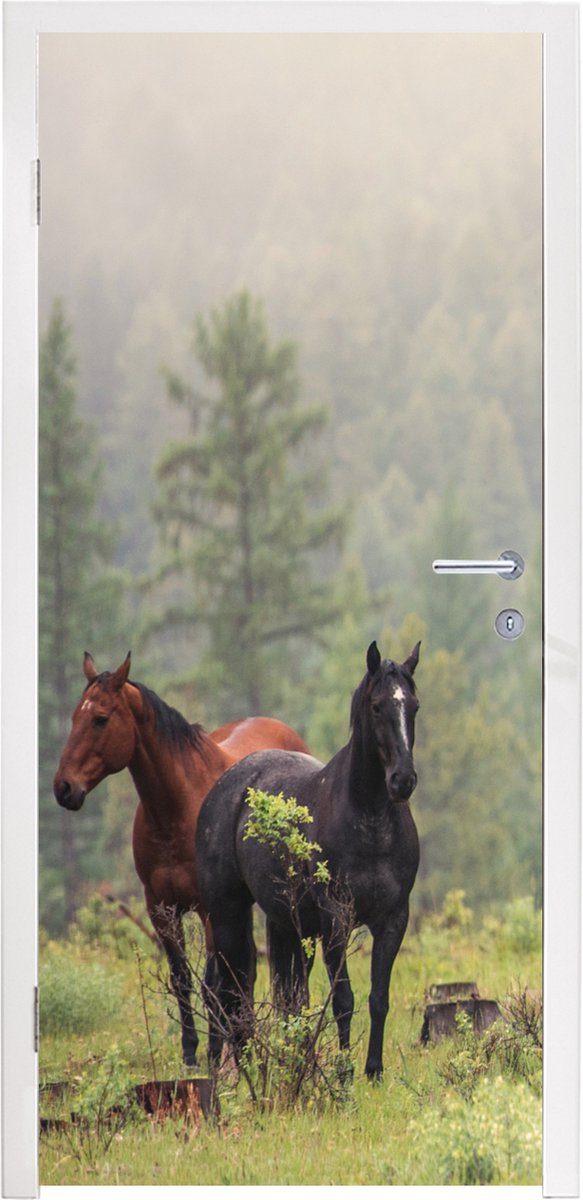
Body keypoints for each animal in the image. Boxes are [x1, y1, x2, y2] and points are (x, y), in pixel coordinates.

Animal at [53, 651, 310, 1066]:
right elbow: (182, 979)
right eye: (75, 716)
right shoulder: (160, 907)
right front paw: (191, 1052)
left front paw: (215, 1051)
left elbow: (212, 983)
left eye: (100, 718)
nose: (64, 787)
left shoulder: (208, 908)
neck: (177, 810)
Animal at [196, 640, 420, 1080]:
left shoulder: (393, 919)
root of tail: (227, 785)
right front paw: (344, 1073)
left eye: (414, 706)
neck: (369, 820)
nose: (402, 780)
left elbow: (378, 998)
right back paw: (238, 1069)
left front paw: (373, 1071)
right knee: (227, 990)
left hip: (288, 923)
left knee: (285, 996)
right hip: (226, 912)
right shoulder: (336, 917)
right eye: (377, 707)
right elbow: (344, 1000)